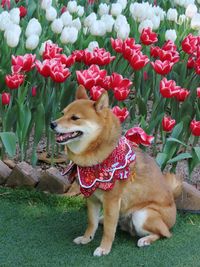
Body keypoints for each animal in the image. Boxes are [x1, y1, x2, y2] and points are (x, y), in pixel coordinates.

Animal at [50, 86, 182, 258]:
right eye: (62, 113)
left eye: (75, 118)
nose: (52, 124)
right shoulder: (91, 197)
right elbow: (91, 222)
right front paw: (86, 238)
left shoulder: (112, 200)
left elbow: (109, 229)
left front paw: (104, 248)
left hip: (142, 215)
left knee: (164, 233)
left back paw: (145, 240)